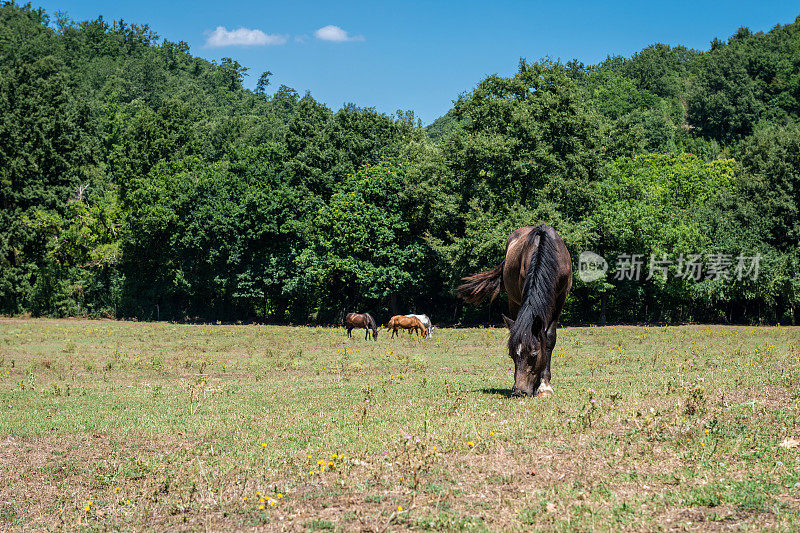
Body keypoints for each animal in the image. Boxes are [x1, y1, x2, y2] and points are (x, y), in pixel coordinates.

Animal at [456, 223, 576, 394]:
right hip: (513, 300)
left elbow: (549, 338)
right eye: (511, 355)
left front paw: (544, 385)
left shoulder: (561, 298)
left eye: (534, 355)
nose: (520, 391)